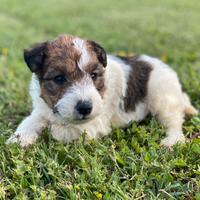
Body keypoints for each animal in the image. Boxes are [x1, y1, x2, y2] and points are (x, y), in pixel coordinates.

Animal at [7, 34, 198, 147]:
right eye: (59, 79)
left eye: (93, 75)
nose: (85, 108)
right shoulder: (42, 110)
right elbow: (31, 121)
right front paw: (18, 139)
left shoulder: (95, 124)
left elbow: (60, 130)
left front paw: (50, 132)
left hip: (162, 97)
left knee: (174, 121)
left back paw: (172, 140)